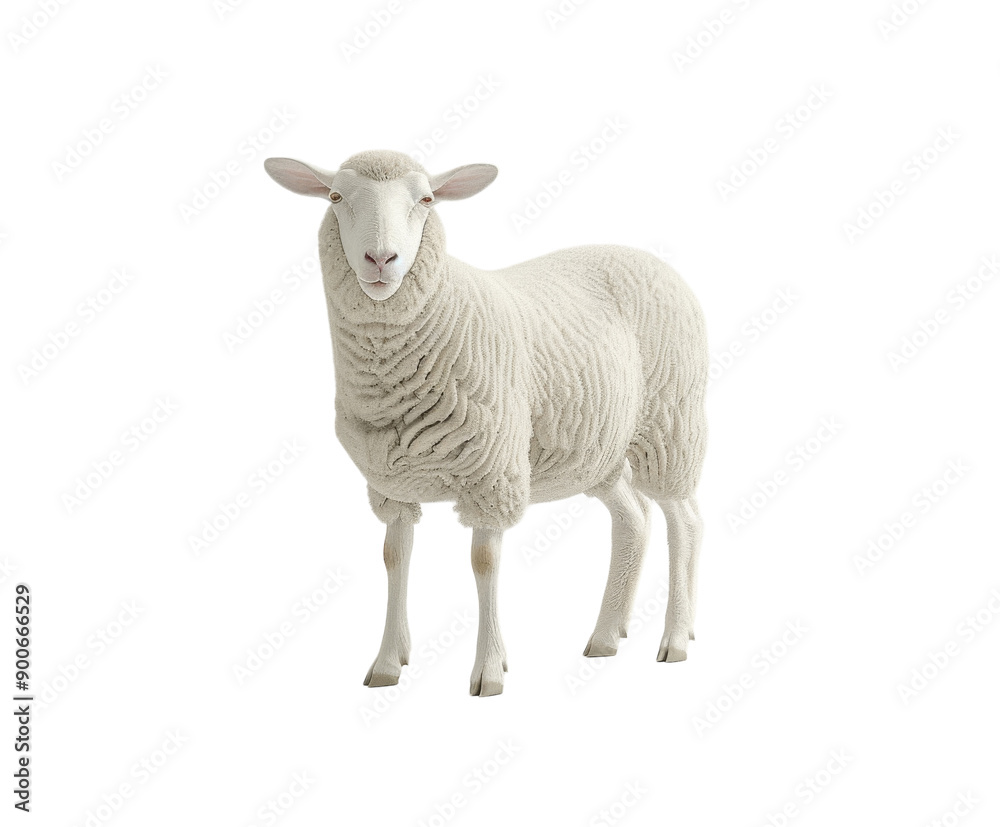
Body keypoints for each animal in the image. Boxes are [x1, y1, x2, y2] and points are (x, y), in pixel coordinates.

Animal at [264, 149, 707, 696]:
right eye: (335, 196)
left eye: (426, 200)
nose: (381, 260)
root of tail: (650, 258)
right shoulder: (391, 482)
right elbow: (394, 556)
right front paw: (388, 663)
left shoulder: (492, 471)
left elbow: (484, 562)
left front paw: (489, 670)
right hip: (598, 446)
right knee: (632, 518)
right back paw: (606, 635)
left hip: (672, 423)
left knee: (684, 521)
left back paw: (676, 638)